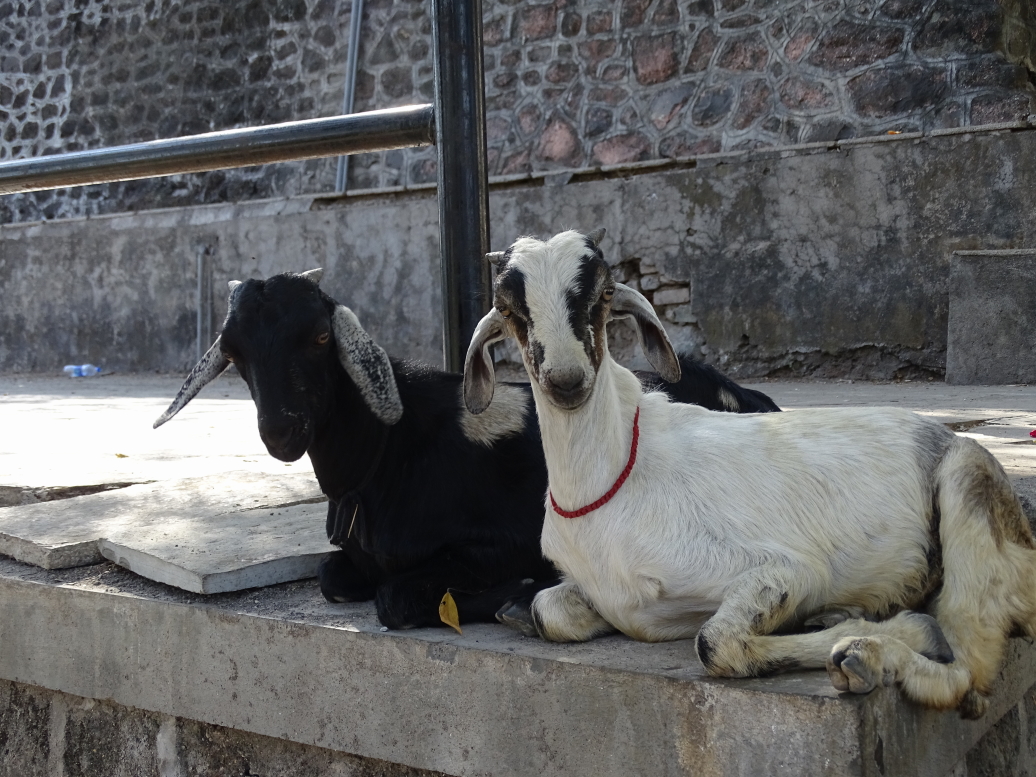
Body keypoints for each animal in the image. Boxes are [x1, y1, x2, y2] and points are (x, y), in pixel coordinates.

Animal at [154, 269, 779, 630]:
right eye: (234, 352)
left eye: (321, 336)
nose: (280, 433)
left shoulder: (507, 540)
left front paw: (522, 595)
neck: (386, 456)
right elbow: (333, 578)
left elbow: (396, 597)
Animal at [463, 228, 1036, 718]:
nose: (566, 380)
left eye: (602, 295)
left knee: (967, 671)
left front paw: (898, 629)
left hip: (968, 484)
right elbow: (546, 610)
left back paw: (865, 653)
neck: (610, 480)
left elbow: (713, 643)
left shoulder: (788, 569)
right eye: (510, 310)